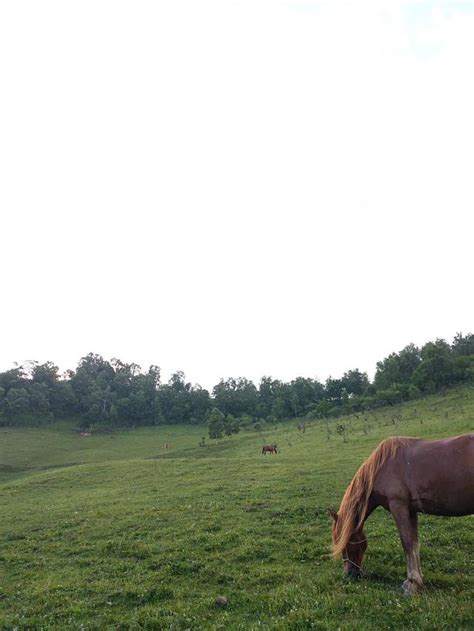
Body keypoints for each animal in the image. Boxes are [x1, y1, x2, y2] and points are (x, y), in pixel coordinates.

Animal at [330, 434, 474, 596]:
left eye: (344, 542)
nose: (349, 574)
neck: (382, 467)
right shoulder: (411, 511)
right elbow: (415, 544)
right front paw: (417, 581)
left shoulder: (398, 507)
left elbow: (407, 543)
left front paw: (412, 584)